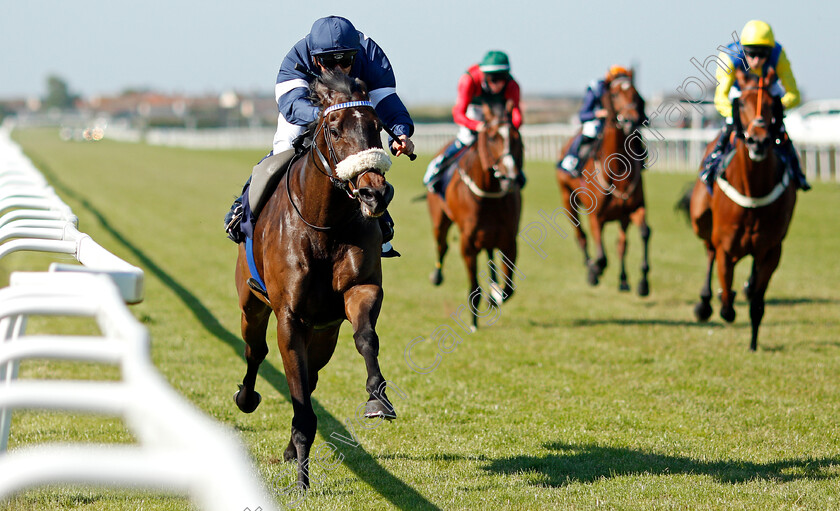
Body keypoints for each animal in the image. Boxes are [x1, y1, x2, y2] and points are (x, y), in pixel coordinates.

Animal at [233, 70, 398, 490]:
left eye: (376, 126)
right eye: (334, 129)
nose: (374, 193)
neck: (323, 222)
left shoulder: (360, 289)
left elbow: (366, 337)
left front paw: (377, 399)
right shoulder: (289, 317)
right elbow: (296, 391)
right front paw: (303, 482)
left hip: (324, 331)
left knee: (312, 375)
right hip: (252, 304)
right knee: (255, 351)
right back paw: (247, 398)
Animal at [430, 100, 520, 332]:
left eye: (516, 137)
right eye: (492, 137)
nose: (510, 176)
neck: (489, 193)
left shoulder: (509, 241)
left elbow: (509, 289)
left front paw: (494, 296)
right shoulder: (468, 243)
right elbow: (473, 287)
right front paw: (473, 322)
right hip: (439, 221)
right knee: (442, 246)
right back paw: (437, 275)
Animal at [556, 73, 652, 294]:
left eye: (636, 94)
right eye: (615, 94)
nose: (631, 119)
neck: (617, 169)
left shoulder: (634, 208)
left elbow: (643, 233)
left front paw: (642, 282)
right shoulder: (596, 217)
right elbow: (601, 258)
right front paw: (594, 271)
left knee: (621, 245)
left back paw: (623, 280)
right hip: (567, 199)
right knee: (581, 236)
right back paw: (590, 265)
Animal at [684, 69, 796, 352]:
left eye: (771, 104)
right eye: (742, 103)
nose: (758, 141)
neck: (753, 191)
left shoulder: (771, 249)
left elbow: (757, 302)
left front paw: (753, 342)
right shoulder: (725, 244)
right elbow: (726, 305)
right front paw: (721, 300)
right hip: (701, 221)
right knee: (709, 253)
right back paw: (705, 303)